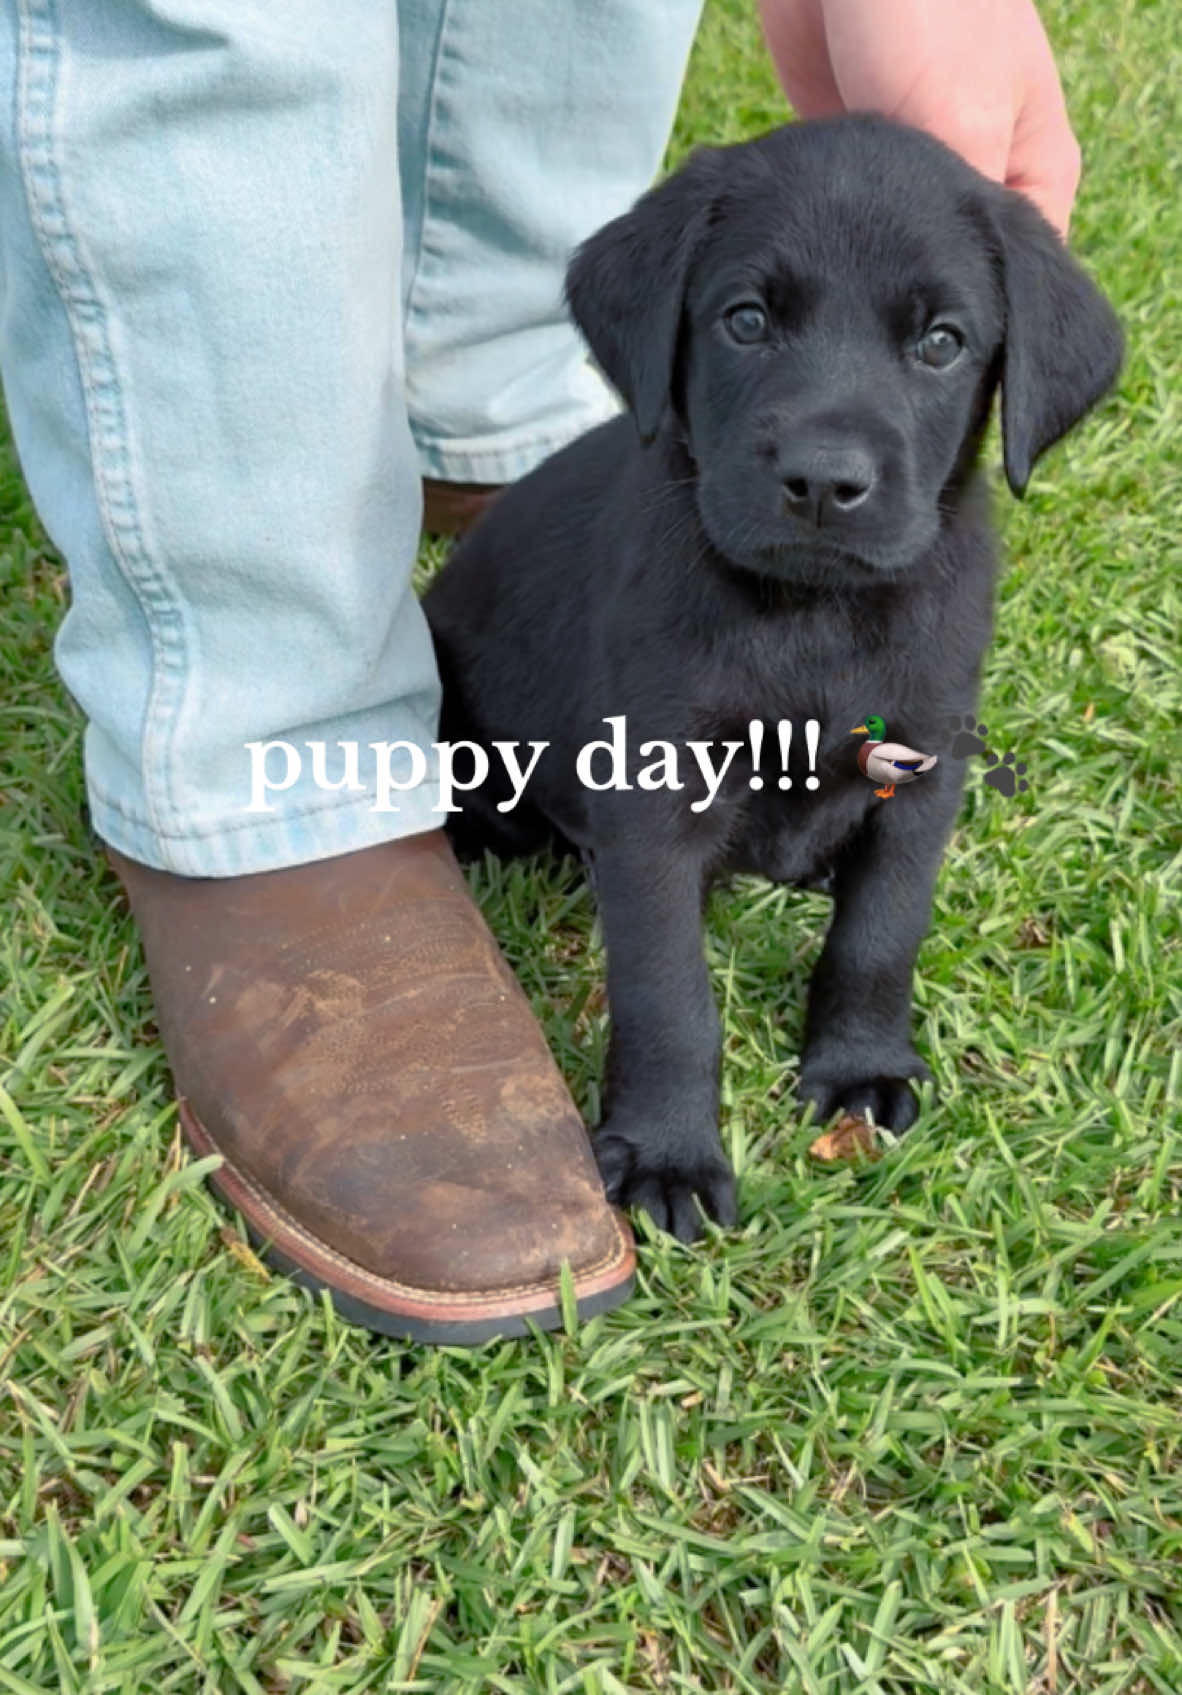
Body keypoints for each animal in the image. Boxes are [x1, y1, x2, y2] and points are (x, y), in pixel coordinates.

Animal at [422, 112, 1112, 1240]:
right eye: (745, 320)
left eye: (941, 342)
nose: (824, 482)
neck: (814, 619)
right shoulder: (655, 797)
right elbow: (669, 995)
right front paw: (667, 1152)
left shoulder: (924, 770)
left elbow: (881, 933)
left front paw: (861, 1068)